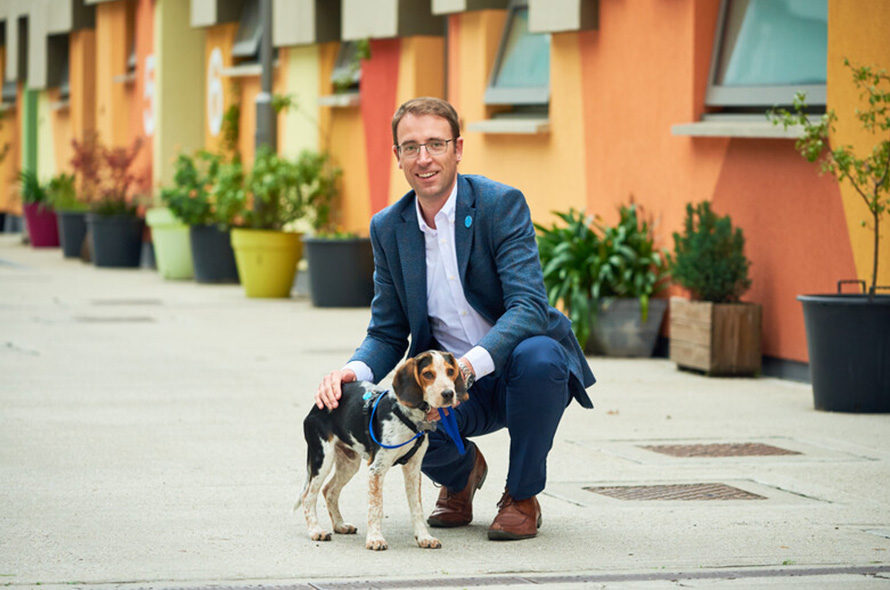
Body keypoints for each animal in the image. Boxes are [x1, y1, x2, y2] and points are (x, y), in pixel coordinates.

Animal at [294, 352, 468, 552]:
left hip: (349, 463)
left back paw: (340, 525)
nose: (448, 394)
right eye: (428, 374)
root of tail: (316, 407)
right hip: (322, 458)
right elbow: (376, 507)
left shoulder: (413, 469)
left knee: (329, 490)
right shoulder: (376, 469)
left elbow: (417, 507)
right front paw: (375, 539)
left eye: (450, 371)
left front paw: (424, 537)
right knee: (308, 496)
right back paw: (316, 530)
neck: (409, 416)